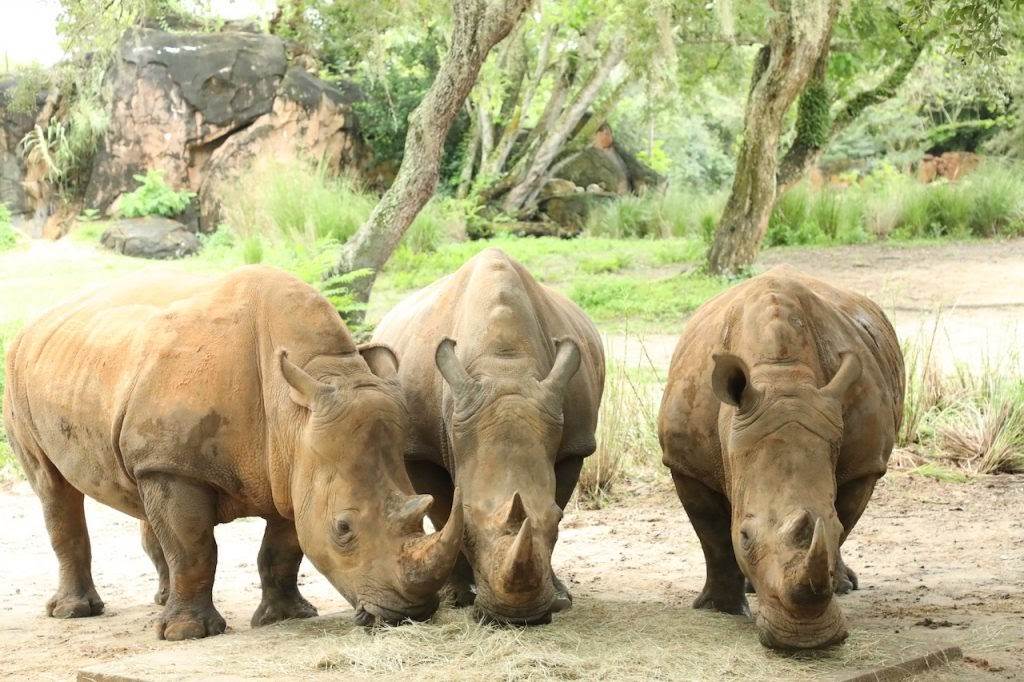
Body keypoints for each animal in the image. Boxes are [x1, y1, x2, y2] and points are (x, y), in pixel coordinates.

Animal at [2, 266, 463, 640]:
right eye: (343, 529)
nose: (410, 614)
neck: (296, 405)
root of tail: (37, 321)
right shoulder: (178, 468)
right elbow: (194, 548)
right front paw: (187, 634)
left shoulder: (291, 467)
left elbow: (282, 549)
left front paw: (287, 617)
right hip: (18, 373)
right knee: (53, 487)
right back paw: (75, 613)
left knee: (139, 492)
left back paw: (161, 600)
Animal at [372, 248, 604, 624]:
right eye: (467, 530)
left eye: (558, 521)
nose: (518, 617)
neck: (505, 365)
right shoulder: (420, 448)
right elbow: (443, 513)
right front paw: (459, 597)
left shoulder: (575, 443)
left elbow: (560, 492)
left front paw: (560, 598)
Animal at [658, 267, 904, 649]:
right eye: (745, 536)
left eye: (833, 527)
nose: (805, 640)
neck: (781, 375)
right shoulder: (685, 464)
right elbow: (713, 538)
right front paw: (720, 609)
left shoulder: (865, 465)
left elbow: (841, 525)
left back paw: (844, 586)